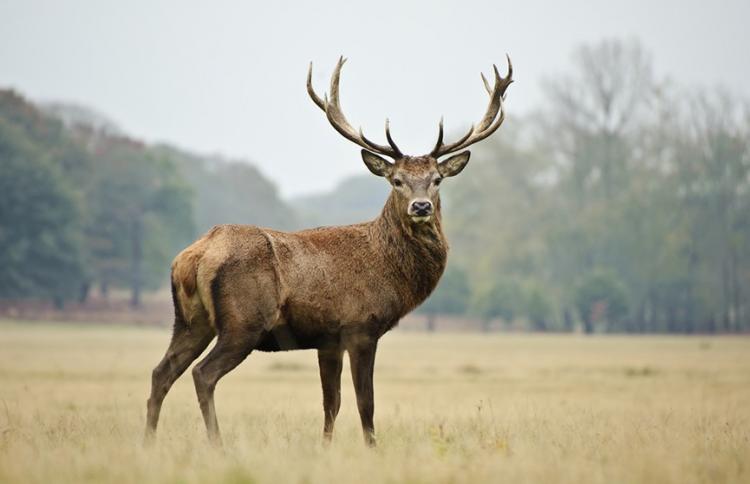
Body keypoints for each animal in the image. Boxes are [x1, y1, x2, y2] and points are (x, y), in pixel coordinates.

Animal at [144, 56, 513, 447]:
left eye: (437, 179)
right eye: (396, 180)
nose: (421, 206)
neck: (388, 270)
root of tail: (194, 256)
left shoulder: (328, 339)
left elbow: (331, 402)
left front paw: (325, 447)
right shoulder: (361, 326)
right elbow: (366, 402)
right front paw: (371, 448)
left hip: (190, 320)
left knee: (161, 372)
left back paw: (148, 441)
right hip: (243, 322)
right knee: (203, 374)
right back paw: (217, 445)